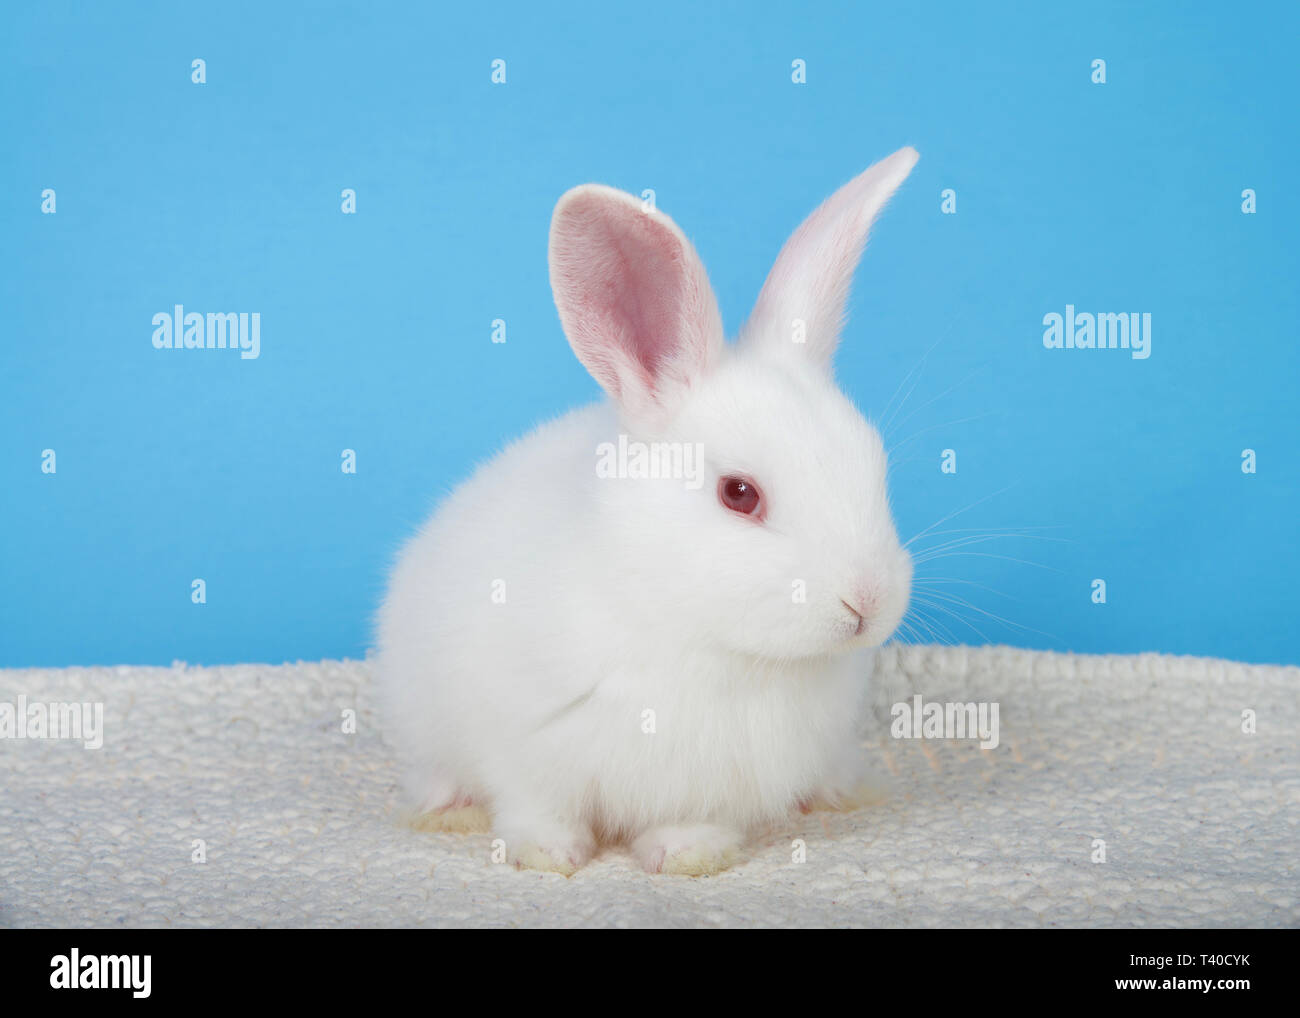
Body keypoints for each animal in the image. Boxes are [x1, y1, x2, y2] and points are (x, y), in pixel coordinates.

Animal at [376, 146, 919, 876]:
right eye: (738, 493)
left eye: (876, 466)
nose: (868, 604)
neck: (701, 634)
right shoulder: (523, 743)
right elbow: (536, 805)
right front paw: (549, 855)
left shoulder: (709, 781)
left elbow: (690, 819)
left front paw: (689, 855)